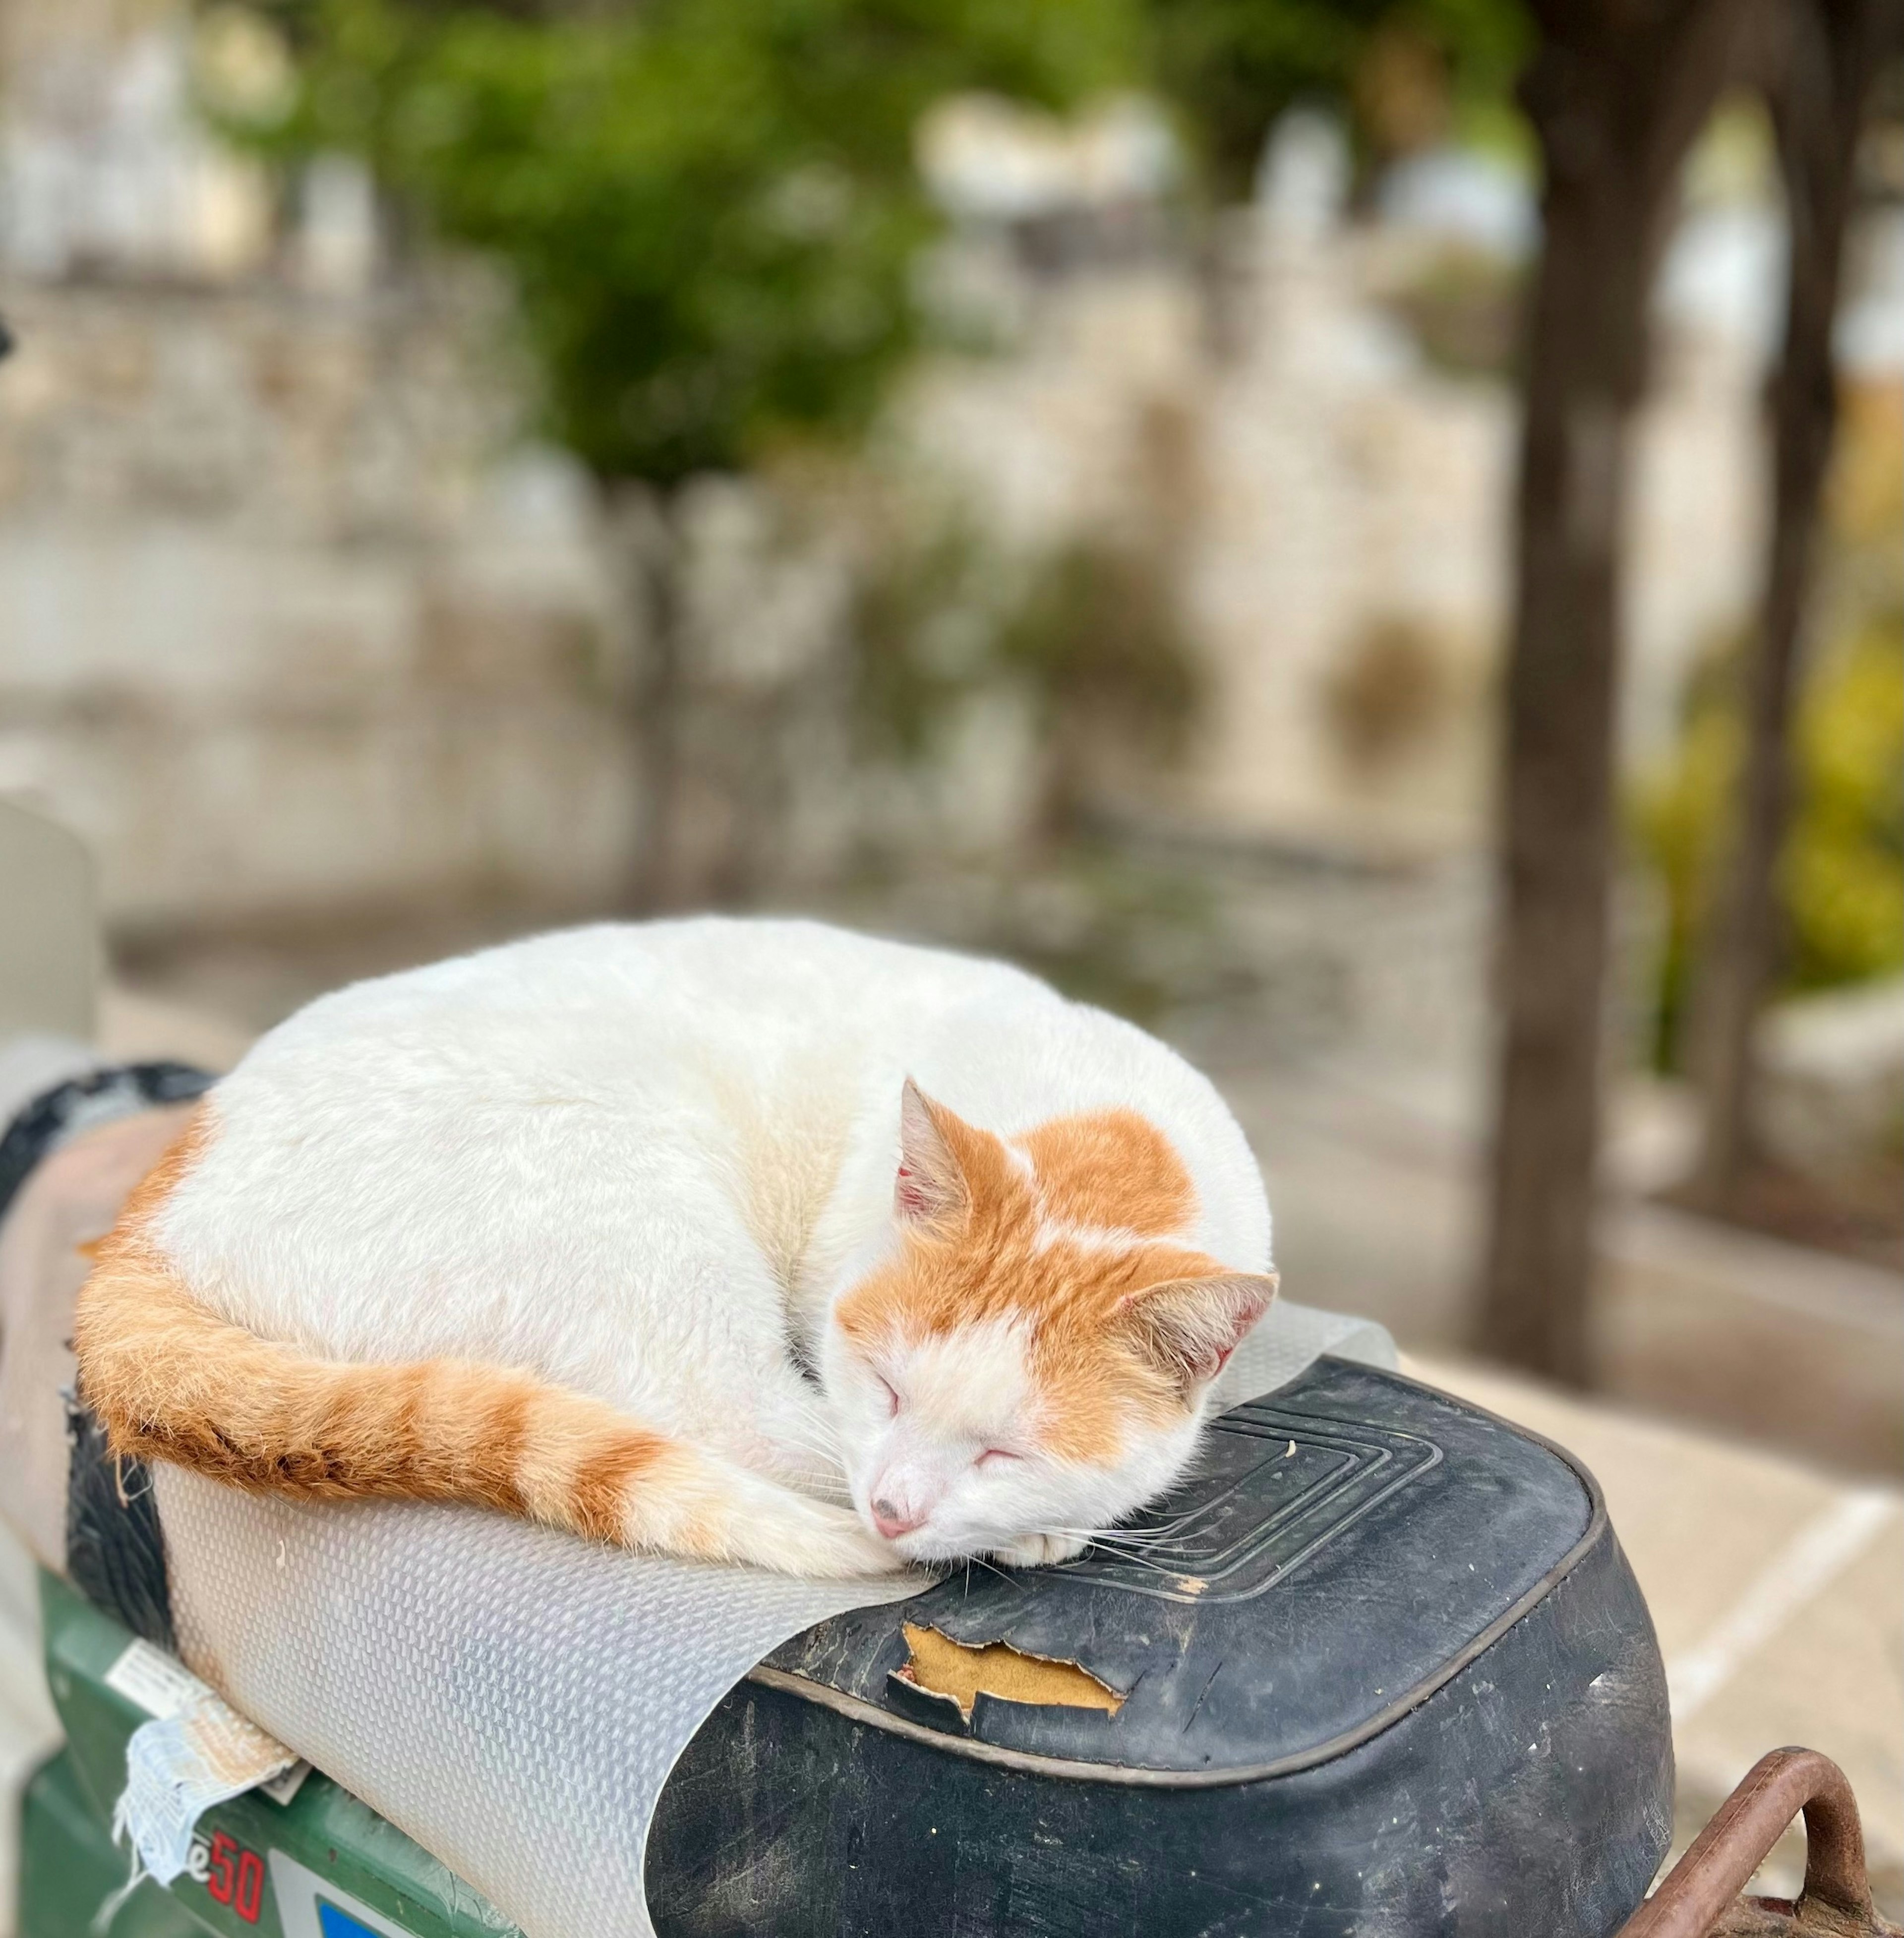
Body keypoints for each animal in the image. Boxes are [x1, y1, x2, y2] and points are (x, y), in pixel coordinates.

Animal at [74, 918, 1270, 1574]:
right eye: (885, 1386)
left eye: (1005, 1449)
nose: (897, 1507)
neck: (1109, 1136)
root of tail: (153, 1211)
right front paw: (1041, 1526)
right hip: (631, 1204)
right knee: (731, 1422)